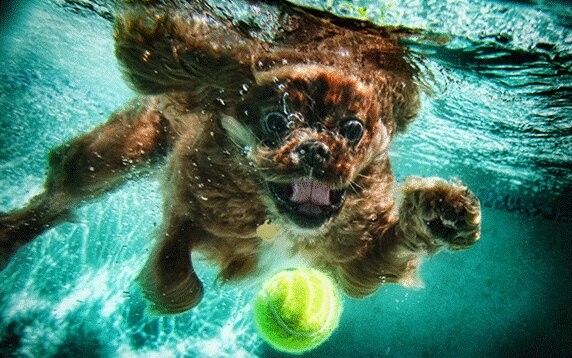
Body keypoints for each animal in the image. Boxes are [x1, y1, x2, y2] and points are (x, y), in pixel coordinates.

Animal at [0, 0, 482, 314]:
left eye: (352, 129)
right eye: (275, 121)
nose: (314, 148)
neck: (279, 221)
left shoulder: (359, 267)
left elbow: (392, 247)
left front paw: (440, 215)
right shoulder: (188, 199)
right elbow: (175, 260)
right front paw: (172, 289)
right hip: (119, 154)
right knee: (59, 195)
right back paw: (11, 232)